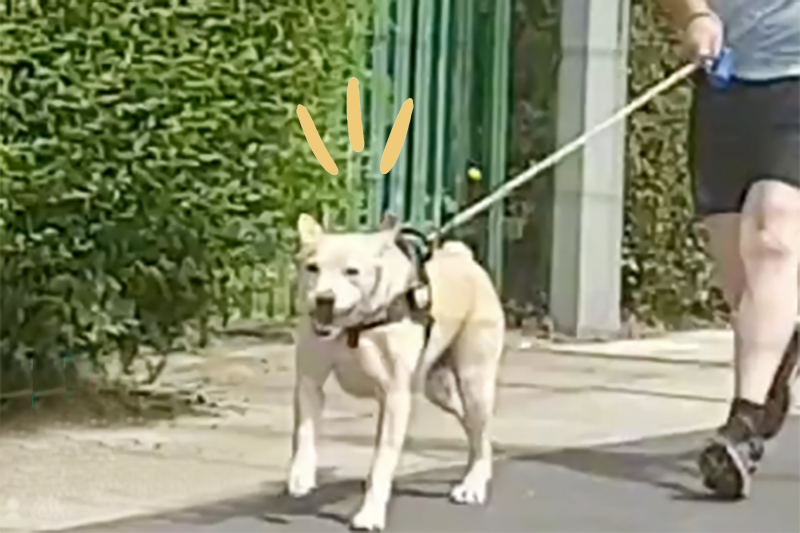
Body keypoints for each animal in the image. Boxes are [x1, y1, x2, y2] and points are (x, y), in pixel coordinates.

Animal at [284, 214, 504, 528]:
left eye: (352, 271)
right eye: (312, 267)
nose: (324, 298)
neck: (355, 328)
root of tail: (463, 257)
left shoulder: (394, 398)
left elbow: (382, 461)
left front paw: (370, 513)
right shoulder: (309, 381)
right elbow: (304, 431)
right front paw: (301, 475)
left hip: (474, 382)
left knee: (479, 425)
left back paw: (474, 483)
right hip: (438, 389)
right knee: (472, 428)